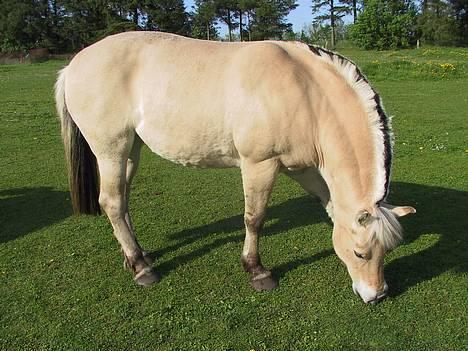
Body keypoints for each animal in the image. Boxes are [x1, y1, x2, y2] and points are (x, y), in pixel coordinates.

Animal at [55, 31, 416, 304]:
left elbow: (329, 206)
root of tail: (73, 65)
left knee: (121, 201)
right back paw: (142, 269)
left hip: (131, 150)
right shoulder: (260, 165)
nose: (377, 295)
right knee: (112, 202)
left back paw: (137, 256)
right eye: (360, 253)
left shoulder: (302, 168)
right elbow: (254, 219)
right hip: (111, 150)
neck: (304, 91)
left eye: (387, 250)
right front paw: (257, 271)